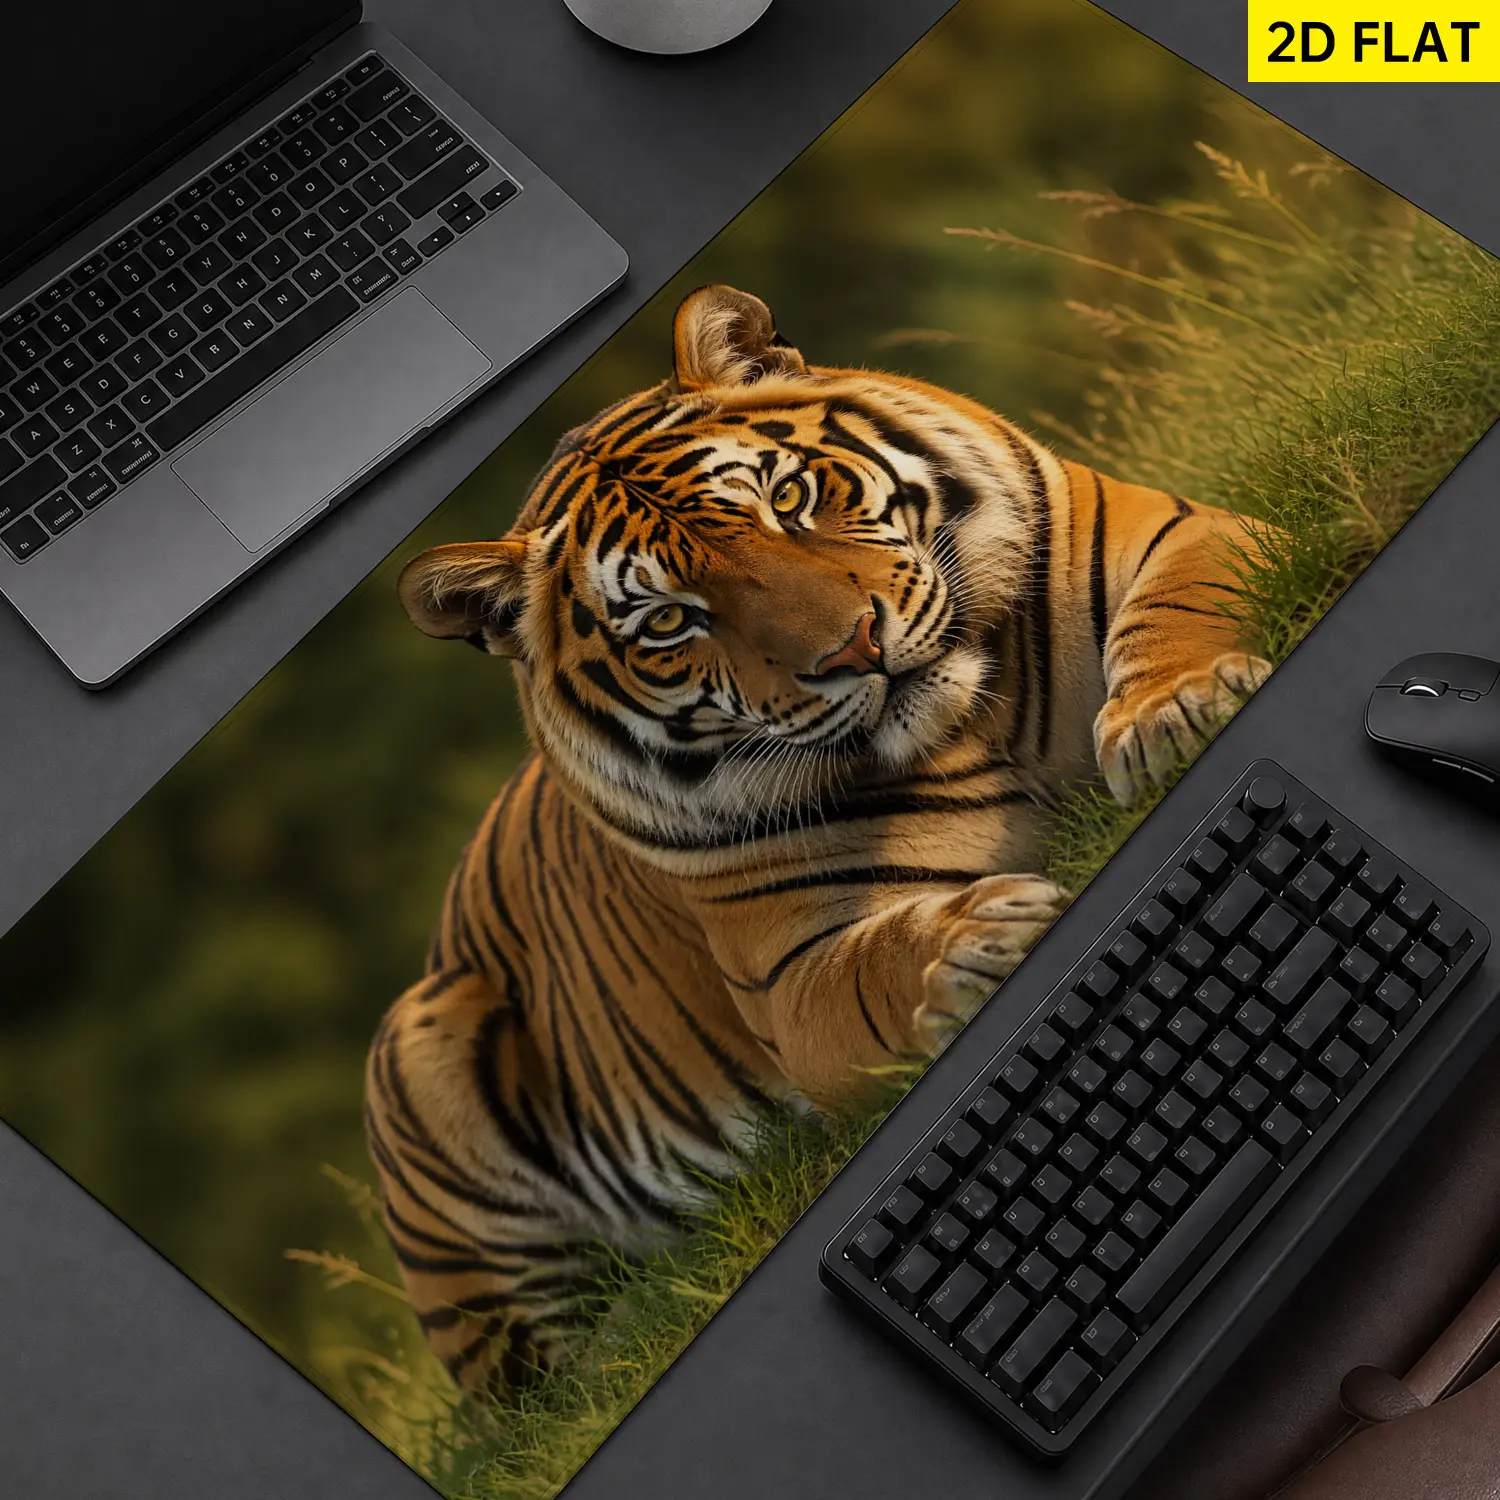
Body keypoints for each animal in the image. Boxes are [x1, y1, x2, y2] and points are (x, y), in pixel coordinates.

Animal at [364, 283, 1273, 1395]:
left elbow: (1178, 605)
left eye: (787, 498)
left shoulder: (1168, 529)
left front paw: (1173, 710)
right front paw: (973, 951)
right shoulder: (793, 974)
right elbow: (872, 971)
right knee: (548, 1383)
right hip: (419, 1040)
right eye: (666, 622)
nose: (854, 650)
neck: (968, 721)